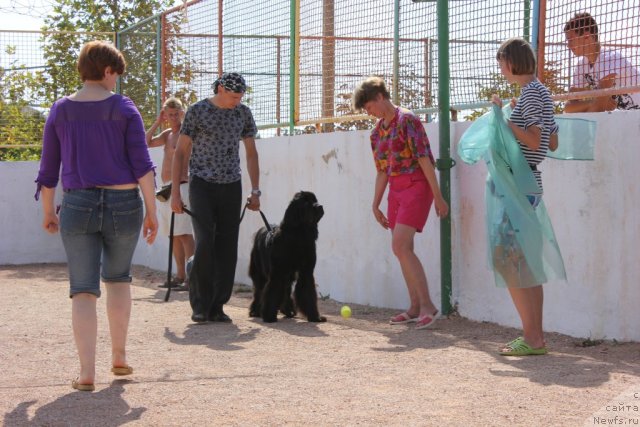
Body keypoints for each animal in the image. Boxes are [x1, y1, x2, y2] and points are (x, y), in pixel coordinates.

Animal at [246, 192, 324, 322]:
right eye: (306, 203)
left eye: (315, 200)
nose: (320, 206)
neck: (300, 235)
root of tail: (262, 229)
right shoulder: (277, 272)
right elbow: (272, 291)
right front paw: (269, 316)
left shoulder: (306, 272)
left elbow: (308, 292)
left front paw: (315, 317)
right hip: (260, 272)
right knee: (259, 291)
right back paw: (255, 311)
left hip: (288, 275)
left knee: (286, 291)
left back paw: (288, 311)